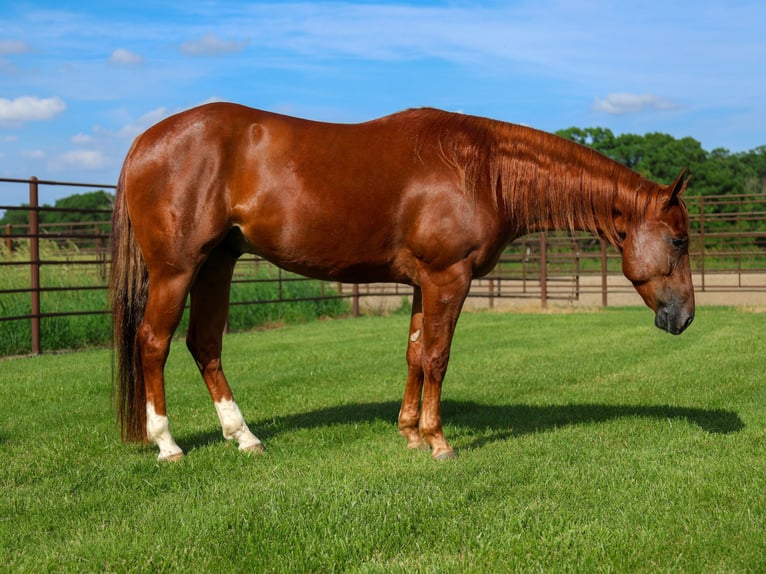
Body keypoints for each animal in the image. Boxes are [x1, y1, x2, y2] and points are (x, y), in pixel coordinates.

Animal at [110, 103, 694, 461]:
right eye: (680, 240)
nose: (685, 316)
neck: (481, 169)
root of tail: (143, 140)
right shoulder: (447, 278)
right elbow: (437, 356)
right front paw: (438, 442)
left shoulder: (421, 283)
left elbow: (414, 353)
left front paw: (410, 433)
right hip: (177, 270)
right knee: (154, 343)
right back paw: (168, 444)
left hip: (218, 264)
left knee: (205, 345)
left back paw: (244, 437)